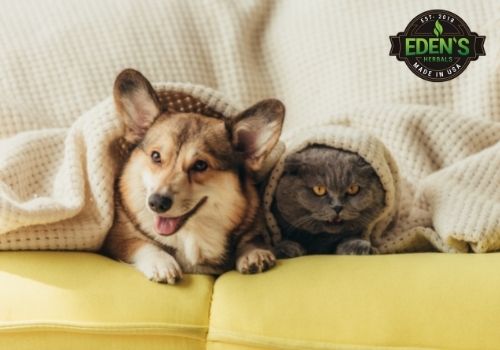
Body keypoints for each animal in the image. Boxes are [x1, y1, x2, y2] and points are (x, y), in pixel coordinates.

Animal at [104, 69, 286, 284]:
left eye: (200, 165)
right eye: (156, 156)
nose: (156, 203)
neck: (191, 234)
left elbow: (252, 239)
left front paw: (254, 253)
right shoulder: (117, 238)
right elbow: (142, 243)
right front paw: (162, 263)